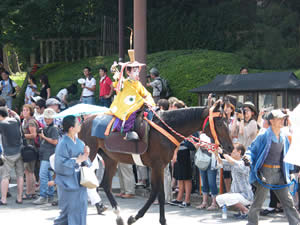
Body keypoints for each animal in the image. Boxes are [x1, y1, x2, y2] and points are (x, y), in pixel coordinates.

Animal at [78, 102, 233, 225]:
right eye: (220, 123)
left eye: (228, 121)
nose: (230, 147)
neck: (166, 129)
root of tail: (85, 121)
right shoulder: (157, 165)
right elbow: (158, 193)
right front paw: (138, 217)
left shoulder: (159, 166)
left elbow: (158, 193)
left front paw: (146, 218)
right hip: (90, 154)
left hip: (110, 158)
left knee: (105, 184)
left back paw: (117, 215)